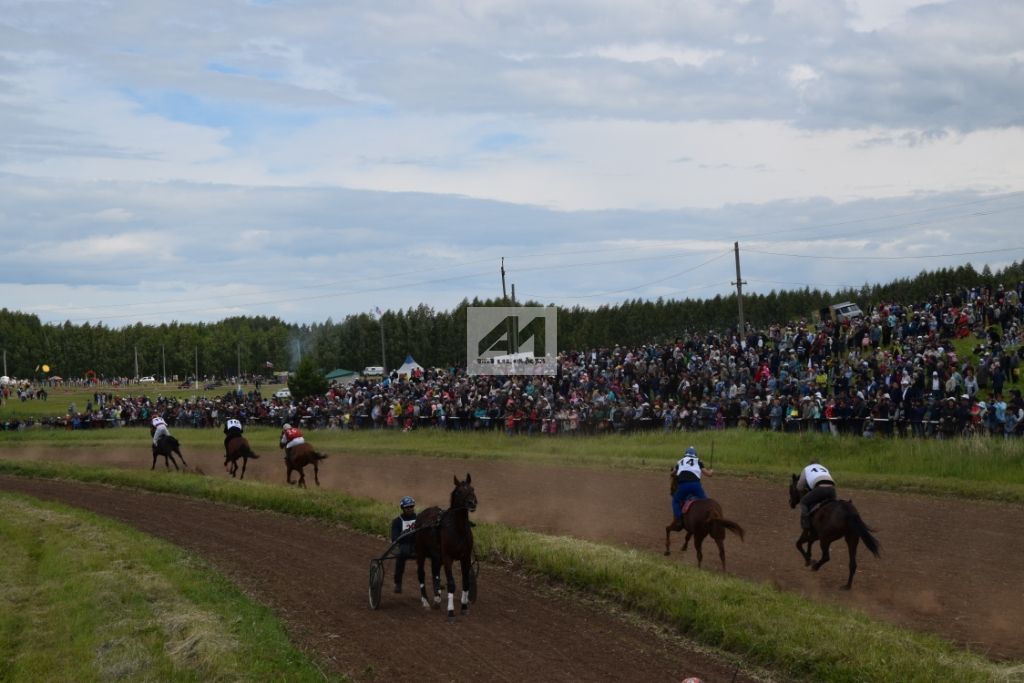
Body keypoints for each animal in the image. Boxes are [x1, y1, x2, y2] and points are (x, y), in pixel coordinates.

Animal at [413, 475, 477, 618]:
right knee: (421, 573)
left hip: (437, 556)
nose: (472, 503)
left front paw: (464, 607)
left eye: (472, 489)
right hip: (420, 551)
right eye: (459, 491)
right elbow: (451, 584)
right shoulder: (448, 557)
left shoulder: (465, 557)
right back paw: (425, 602)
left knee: (435, 572)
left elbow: (466, 582)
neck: (458, 530)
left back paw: (437, 599)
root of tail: (422, 514)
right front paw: (451, 612)